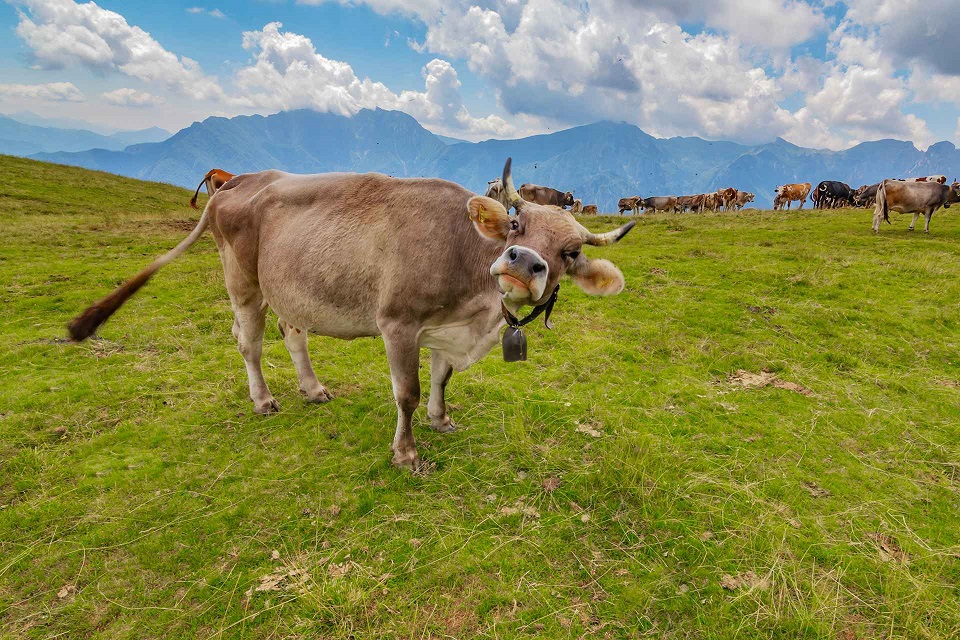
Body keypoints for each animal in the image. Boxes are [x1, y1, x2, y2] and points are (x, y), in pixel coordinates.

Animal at [67, 160, 636, 470]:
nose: (522, 263)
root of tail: (238, 181)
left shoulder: (444, 330)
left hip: (293, 287)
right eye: (516, 225)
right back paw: (263, 399)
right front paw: (407, 453)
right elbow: (407, 393)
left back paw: (312, 388)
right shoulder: (398, 324)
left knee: (292, 332)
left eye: (570, 253)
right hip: (243, 282)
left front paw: (441, 419)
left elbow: (442, 379)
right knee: (249, 341)